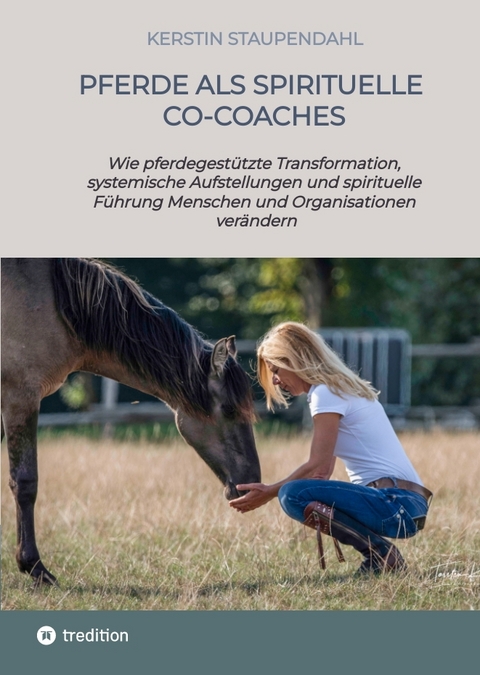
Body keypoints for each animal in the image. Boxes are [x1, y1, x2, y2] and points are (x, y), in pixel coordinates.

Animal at [1, 258, 261, 585]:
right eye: (227, 409)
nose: (252, 483)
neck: (54, 301)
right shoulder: (19, 398)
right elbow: (25, 483)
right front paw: (34, 567)